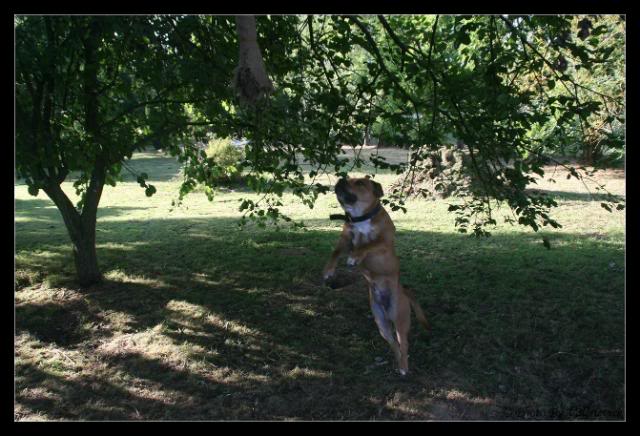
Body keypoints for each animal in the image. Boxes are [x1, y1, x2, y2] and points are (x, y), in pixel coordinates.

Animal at [322, 175, 428, 376]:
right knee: (394, 345)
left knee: (403, 344)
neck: (360, 218)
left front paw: (355, 257)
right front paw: (328, 270)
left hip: (400, 319)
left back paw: (404, 367)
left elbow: (367, 245)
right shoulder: (345, 240)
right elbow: (334, 252)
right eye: (348, 178)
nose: (341, 177)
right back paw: (398, 364)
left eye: (360, 183)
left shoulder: (383, 243)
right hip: (382, 325)